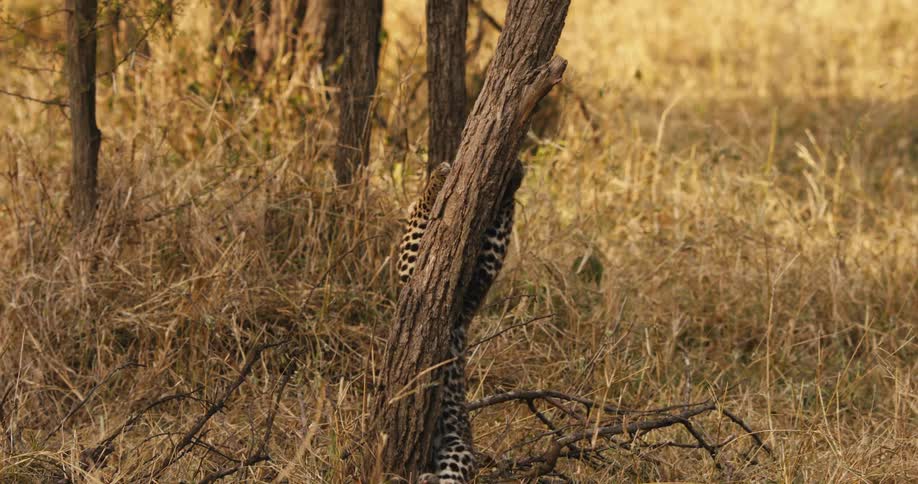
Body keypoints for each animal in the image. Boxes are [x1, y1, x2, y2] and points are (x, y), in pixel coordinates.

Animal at [397, 160, 524, 484]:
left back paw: (427, 477)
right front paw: (440, 176)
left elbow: (497, 229)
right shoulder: (410, 264)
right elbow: (423, 206)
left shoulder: (480, 275)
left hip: (459, 449)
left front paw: (513, 174)